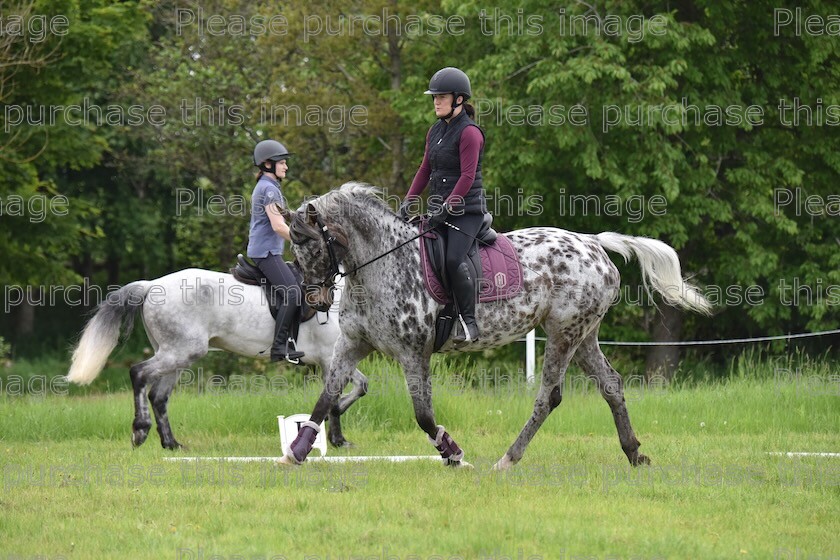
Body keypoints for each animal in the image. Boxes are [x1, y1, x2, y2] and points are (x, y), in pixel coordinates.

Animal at [280, 183, 708, 468]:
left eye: (313, 246)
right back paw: (634, 453)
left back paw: (508, 459)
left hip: (563, 333)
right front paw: (297, 452)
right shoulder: (352, 344)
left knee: (549, 397)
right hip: (584, 335)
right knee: (612, 386)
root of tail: (592, 243)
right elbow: (324, 399)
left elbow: (423, 415)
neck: (381, 264)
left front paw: (453, 453)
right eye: (295, 250)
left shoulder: (413, 352)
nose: (315, 301)